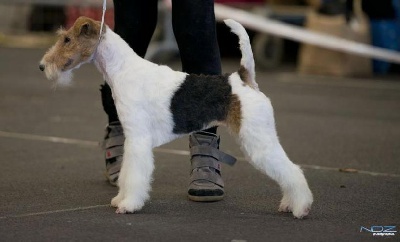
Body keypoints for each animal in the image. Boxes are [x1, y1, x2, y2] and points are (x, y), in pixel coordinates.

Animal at [39, 16, 312, 218]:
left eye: (67, 39)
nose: (42, 66)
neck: (123, 69)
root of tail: (244, 79)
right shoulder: (131, 138)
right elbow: (126, 173)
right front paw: (120, 198)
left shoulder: (138, 139)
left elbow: (135, 175)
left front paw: (129, 204)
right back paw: (289, 204)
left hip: (259, 140)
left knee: (292, 171)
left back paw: (300, 207)